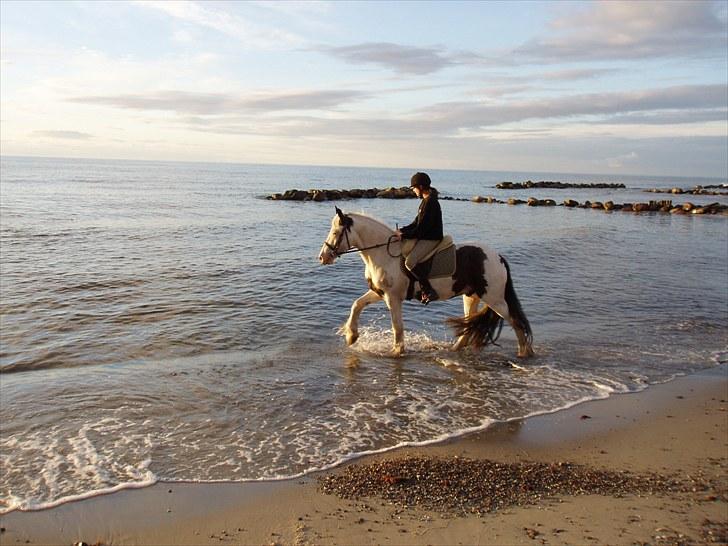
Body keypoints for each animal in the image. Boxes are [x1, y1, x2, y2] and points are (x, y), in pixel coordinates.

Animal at [320, 208, 536, 356]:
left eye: (336, 232)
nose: (323, 257)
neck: (383, 253)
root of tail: (498, 257)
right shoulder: (379, 293)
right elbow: (357, 305)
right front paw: (351, 336)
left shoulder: (392, 297)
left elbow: (397, 326)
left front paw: (397, 352)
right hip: (471, 296)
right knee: (468, 325)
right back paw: (452, 350)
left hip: (495, 299)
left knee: (515, 322)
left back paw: (524, 353)